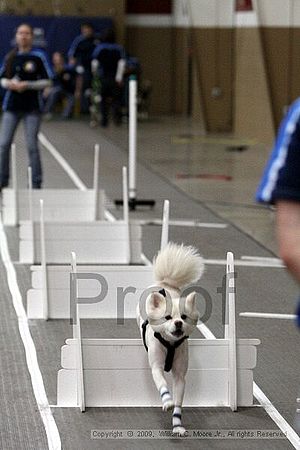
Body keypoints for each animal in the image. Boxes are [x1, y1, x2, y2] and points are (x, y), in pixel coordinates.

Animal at [137, 243, 204, 436]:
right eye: (167, 318)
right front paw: (167, 401)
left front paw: (177, 425)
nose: (178, 323)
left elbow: (179, 401)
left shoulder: (180, 375)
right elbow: (162, 384)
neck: (171, 344)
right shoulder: (156, 367)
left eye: (184, 317)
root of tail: (165, 283)